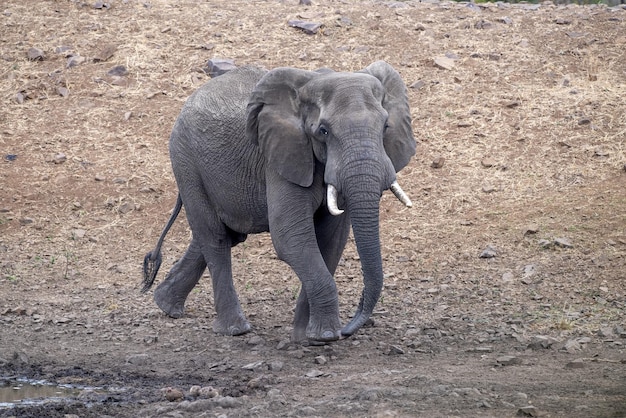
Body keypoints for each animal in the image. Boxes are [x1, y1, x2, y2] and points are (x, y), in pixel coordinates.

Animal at [141, 61, 414, 342]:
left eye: (385, 127)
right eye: (323, 131)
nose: (348, 330)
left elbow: (331, 240)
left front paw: (307, 337)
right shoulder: (279, 157)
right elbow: (290, 237)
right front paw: (326, 336)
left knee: (224, 235)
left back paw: (166, 304)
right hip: (186, 161)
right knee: (214, 237)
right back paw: (234, 329)